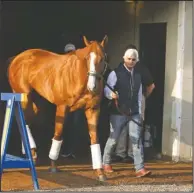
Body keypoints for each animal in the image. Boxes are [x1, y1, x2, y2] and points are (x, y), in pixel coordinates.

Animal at [7, 35, 107, 181]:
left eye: (103, 58)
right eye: (87, 58)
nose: (92, 86)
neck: (78, 77)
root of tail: (16, 58)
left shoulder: (92, 109)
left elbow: (95, 139)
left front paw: (100, 172)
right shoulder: (62, 107)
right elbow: (58, 135)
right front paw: (53, 166)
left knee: (26, 120)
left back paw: (31, 152)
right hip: (24, 97)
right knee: (23, 120)